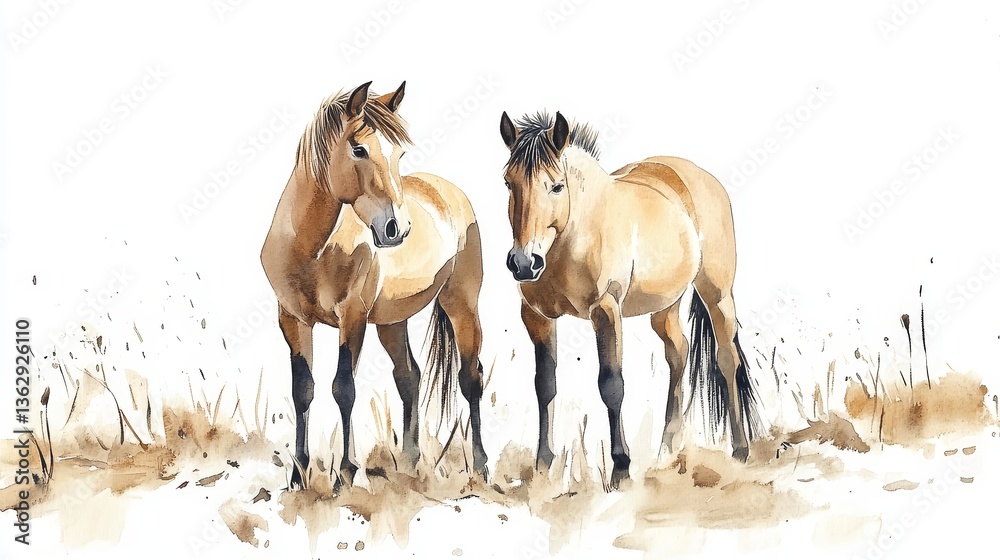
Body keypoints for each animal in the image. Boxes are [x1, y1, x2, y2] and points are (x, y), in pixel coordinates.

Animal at [261, 81, 488, 489]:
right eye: (359, 149)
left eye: (399, 152)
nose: (397, 228)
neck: (310, 249)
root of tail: (449, 191)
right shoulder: (292, 320)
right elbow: (303, 390)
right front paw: (299, 474)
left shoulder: (352, 318)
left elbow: (343, 388)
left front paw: (345, 473)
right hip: (391, 322)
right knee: (409, 377)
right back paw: (410, 462)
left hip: (462, 305)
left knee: (470, 378)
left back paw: (479, 467)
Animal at [498, 110, 762, 489]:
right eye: (509, 183)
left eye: (557, 185)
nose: (523, 262)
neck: (575, 234)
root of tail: (698, 176)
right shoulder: (537, 317)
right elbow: (544, 384)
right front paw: (543, 465)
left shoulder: (606, 311)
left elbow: (612, 385)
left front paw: (621, 468)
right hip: (664, 306)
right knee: (678, 352)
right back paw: (666, 449)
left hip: (718, 296)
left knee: (727, 360)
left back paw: (740, 450)